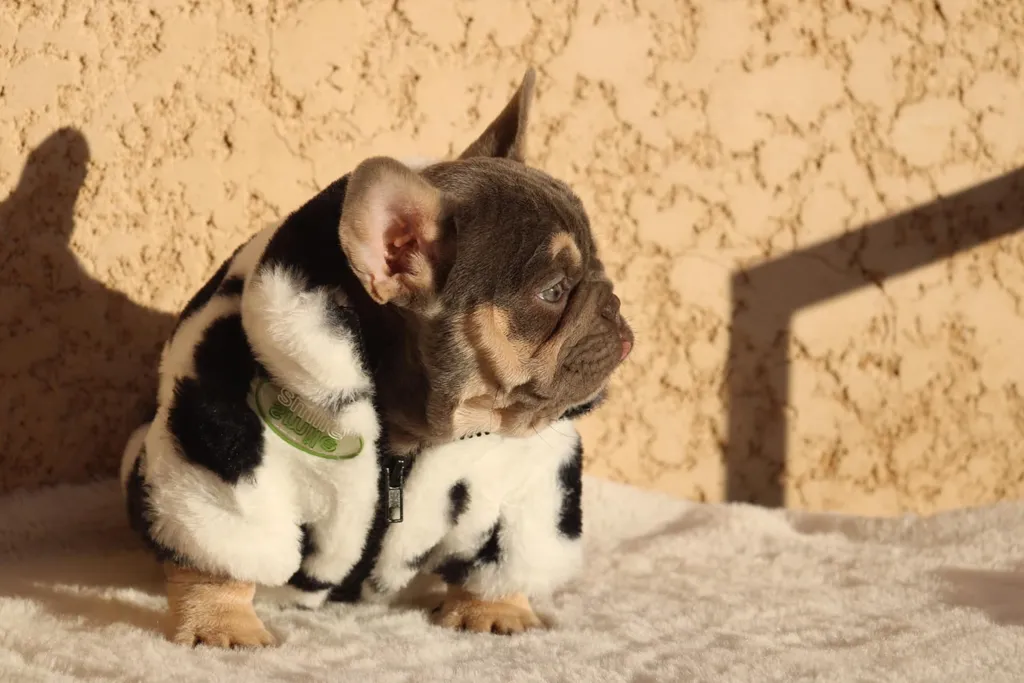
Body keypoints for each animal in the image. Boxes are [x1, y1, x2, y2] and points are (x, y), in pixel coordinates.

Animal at [119, 70, 630, 651]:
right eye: (553, 291)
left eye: (598, 267)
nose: (614, 303)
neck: (415, 432)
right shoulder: (223, 443)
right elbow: (222, 554)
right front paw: (220, 621)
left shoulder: (523, 479)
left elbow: (504, 555)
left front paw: (495, 607)